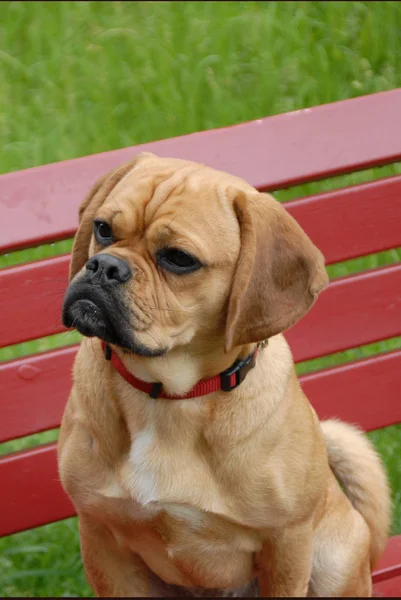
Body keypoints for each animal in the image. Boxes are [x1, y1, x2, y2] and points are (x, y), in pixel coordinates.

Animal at [58, 154, 390, 596]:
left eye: (179, 258)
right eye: (102, 229)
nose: (105, 266)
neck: (169, 395)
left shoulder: (287, 546)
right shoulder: (101, 539)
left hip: (333, 562)